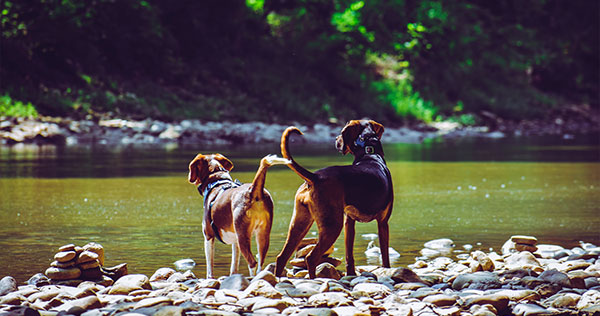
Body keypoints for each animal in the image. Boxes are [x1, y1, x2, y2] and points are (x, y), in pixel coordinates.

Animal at [276, 119, 394, 278]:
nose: (336, 139)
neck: (370, 153)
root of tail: (315, 177)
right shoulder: (383, 223)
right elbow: (385, 255)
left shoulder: (349, 222)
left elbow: (349, 255)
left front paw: (351, 274)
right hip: (332, 226)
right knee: (311, 258)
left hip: (299, 224)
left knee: (281, 257)